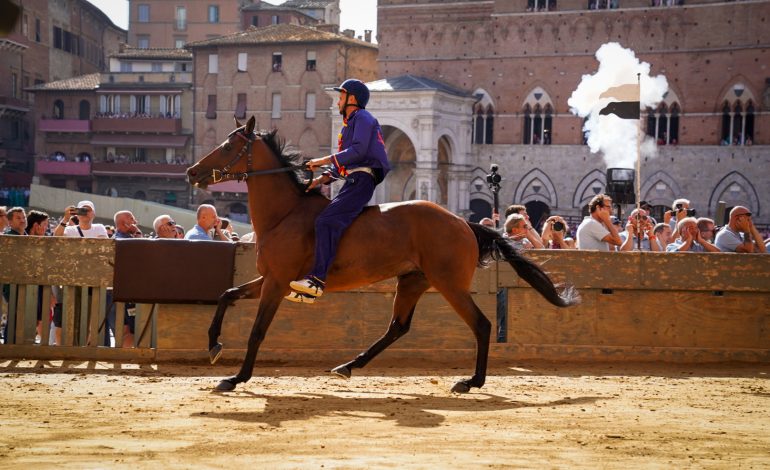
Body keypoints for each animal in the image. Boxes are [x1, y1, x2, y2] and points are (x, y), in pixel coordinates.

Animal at [184, 116, 576, 392]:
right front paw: (214, 344)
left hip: (449, 284)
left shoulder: (277, 283)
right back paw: (348, 366)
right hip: (413, 281)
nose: (191, 171)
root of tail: (464, 223)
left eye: (227, 146)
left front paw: (237, 378)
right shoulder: (270, 278)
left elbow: (257, 331)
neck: (286, 213)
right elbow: (227, 294)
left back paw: (471, 381)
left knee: (480, 324)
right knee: (397, 327)